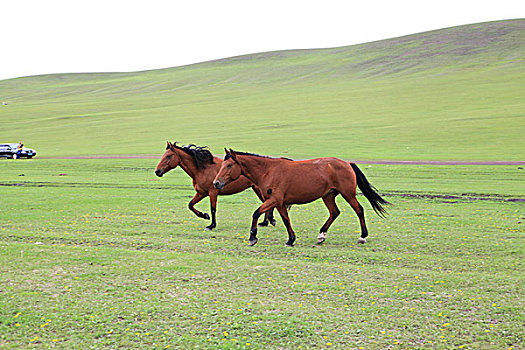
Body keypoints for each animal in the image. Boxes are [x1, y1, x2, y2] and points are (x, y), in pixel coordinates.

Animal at [211, 150, 386, 246]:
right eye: (221, 165)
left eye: (229, 165)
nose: (216, 183)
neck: (268, 170)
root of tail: (347, 163)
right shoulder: (279, 203)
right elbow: (286, 220)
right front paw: (291, 240)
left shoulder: (274, 201)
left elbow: (256, 213)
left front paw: (253, 237)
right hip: (328, 195)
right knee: (334, 212)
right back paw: (321, 235)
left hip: (348, 194)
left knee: (359, 210)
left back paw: (362, 236)